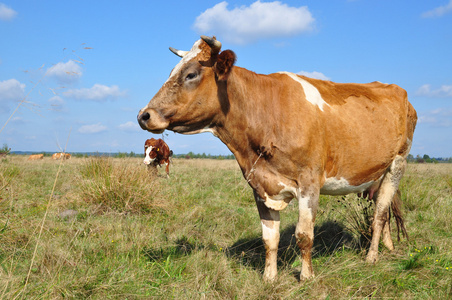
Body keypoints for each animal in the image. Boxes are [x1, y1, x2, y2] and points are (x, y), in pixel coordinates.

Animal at [137, 36, 416, 280]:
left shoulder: (309, 183)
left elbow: (304, 235)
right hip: (376, 173)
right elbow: (269, 238)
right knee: (385, 212)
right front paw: (269, 278)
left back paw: (372, 257)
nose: (144, 115)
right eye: (173, 71)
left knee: (380, 213)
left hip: (398, 164)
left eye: (191, 74)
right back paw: (388, 247)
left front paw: (306, 276)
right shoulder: (259, 185)